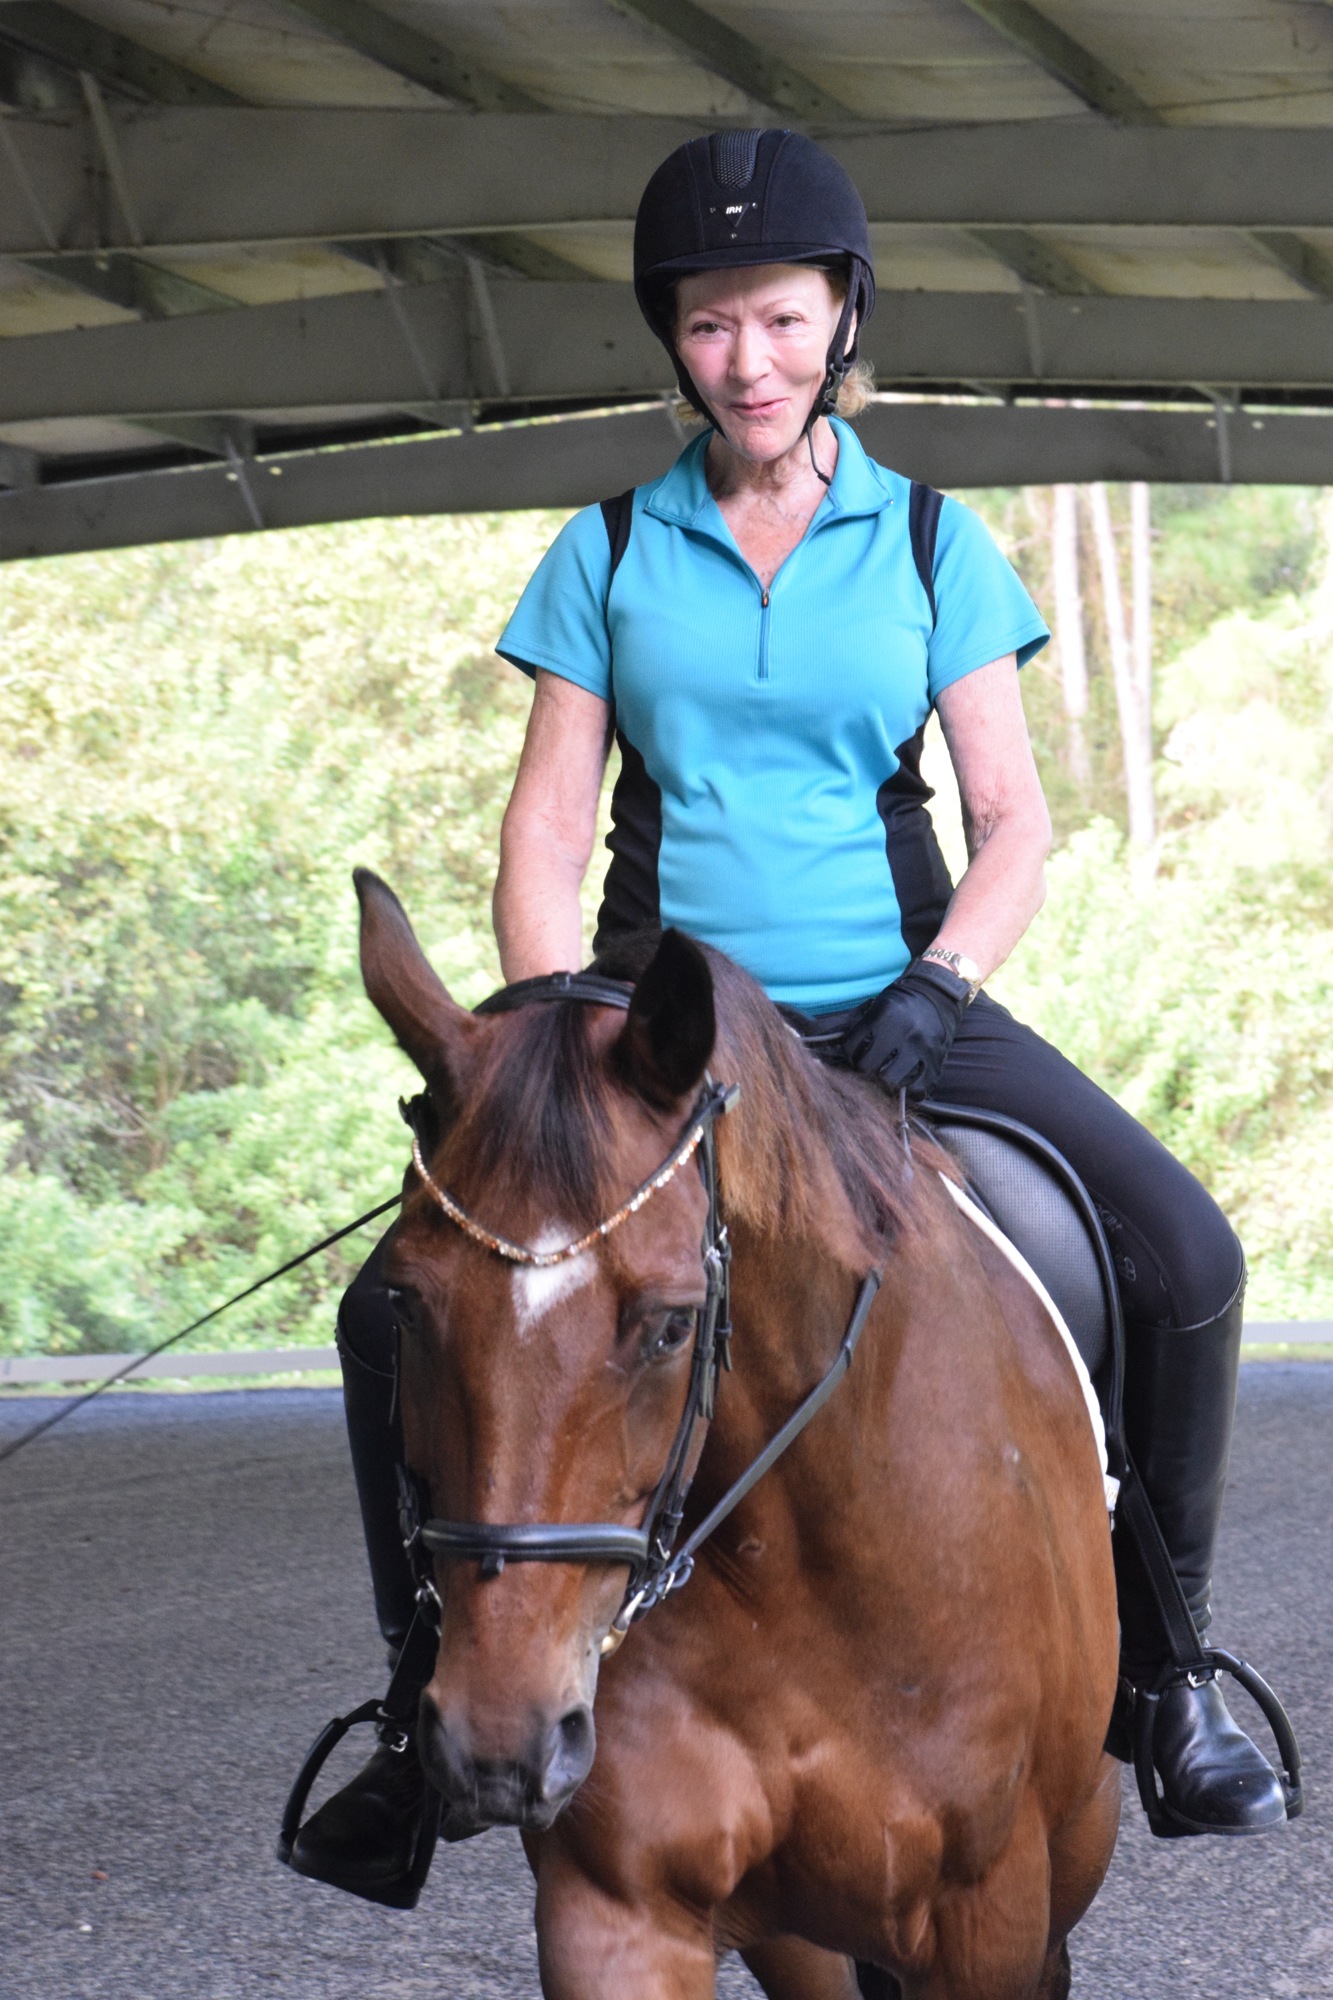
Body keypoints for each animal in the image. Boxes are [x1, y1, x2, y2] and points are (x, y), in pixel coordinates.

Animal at [356, 872, 1120, 2000]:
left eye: (672, 1323)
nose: (500, 1740)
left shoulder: (988, 1913)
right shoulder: (619, 1909)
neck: (794, 1560)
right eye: (404, 1304)